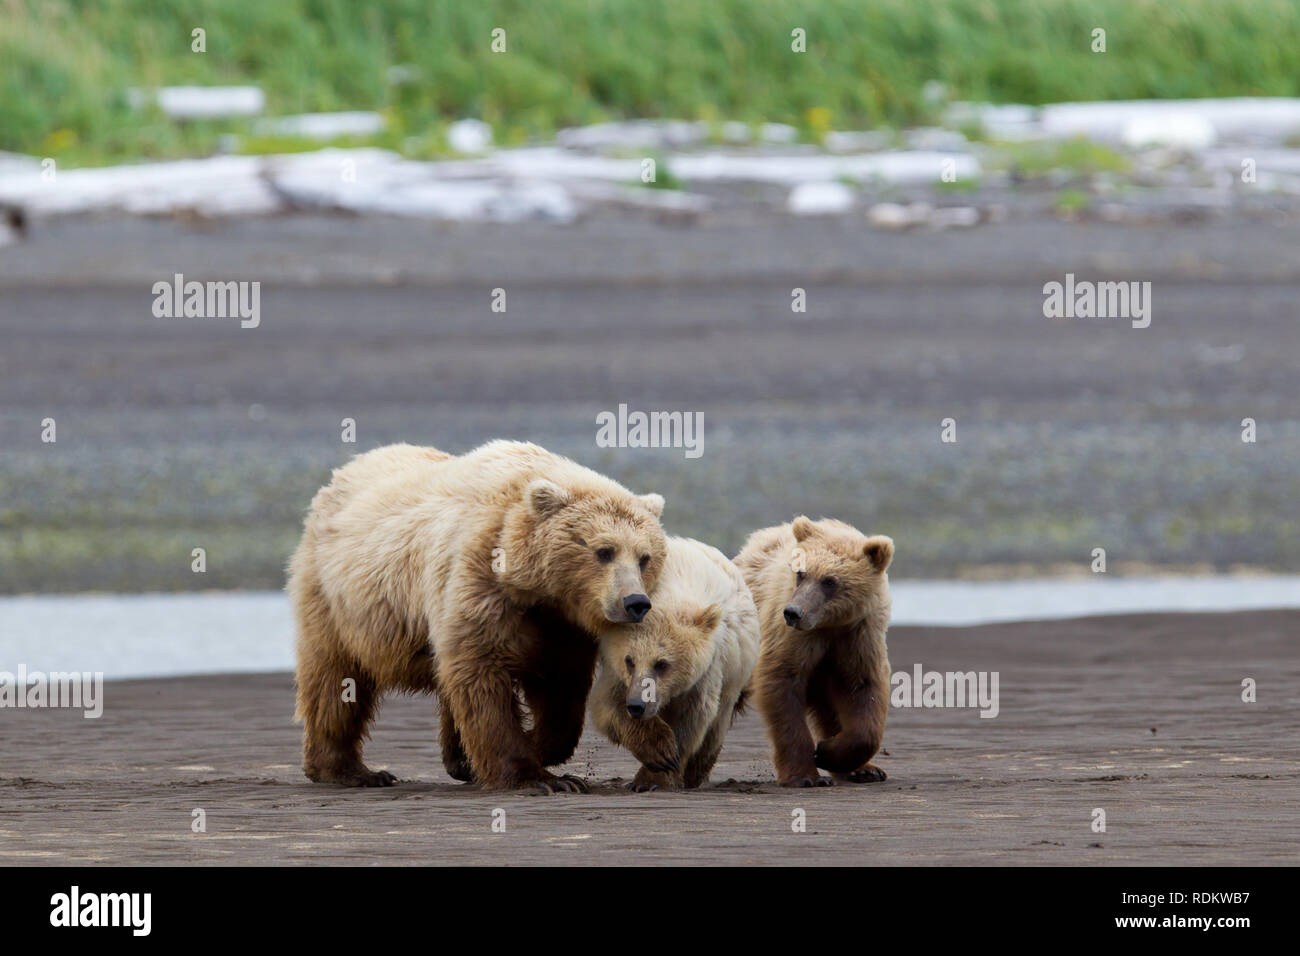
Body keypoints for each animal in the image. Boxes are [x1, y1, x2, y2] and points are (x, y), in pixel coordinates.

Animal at [288, 442, 665, 790]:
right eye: (604, 551)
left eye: (644, 557)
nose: (635, 602)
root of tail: (340, 476)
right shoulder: (481, 577)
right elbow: (482, 675)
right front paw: (537, 777)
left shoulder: (559, 622)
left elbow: (560, 685)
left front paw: (540, 748)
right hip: (336, 600)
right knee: (335, 680)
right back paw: (350, 771)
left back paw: (457, 760)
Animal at [733, 520, 894, 790]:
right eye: (801, 574)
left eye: (829, 581)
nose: (793, 612)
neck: (831, 625)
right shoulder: (792, 639)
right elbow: (782, 687)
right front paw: (806, 774)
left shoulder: (859, 637)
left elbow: (864, 693)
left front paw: (828, 752)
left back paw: (863, 769)